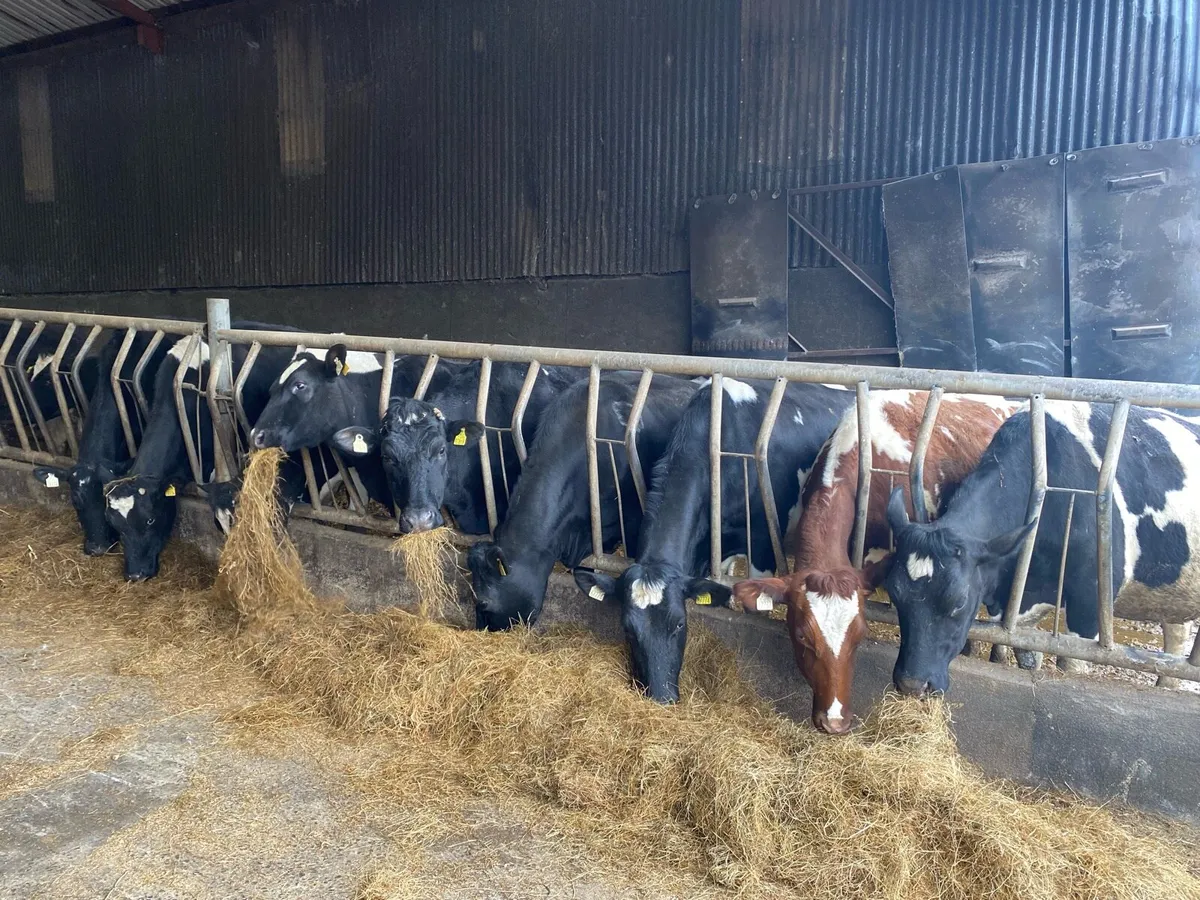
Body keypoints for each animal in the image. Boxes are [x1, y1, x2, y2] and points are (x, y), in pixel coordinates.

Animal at [885, 400, 1200, 697]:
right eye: (894, 594)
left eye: (959, 601)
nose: (912, 684)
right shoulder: (1021, 601)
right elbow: (1022, 656)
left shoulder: (1089, 605)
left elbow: (1069, 664)